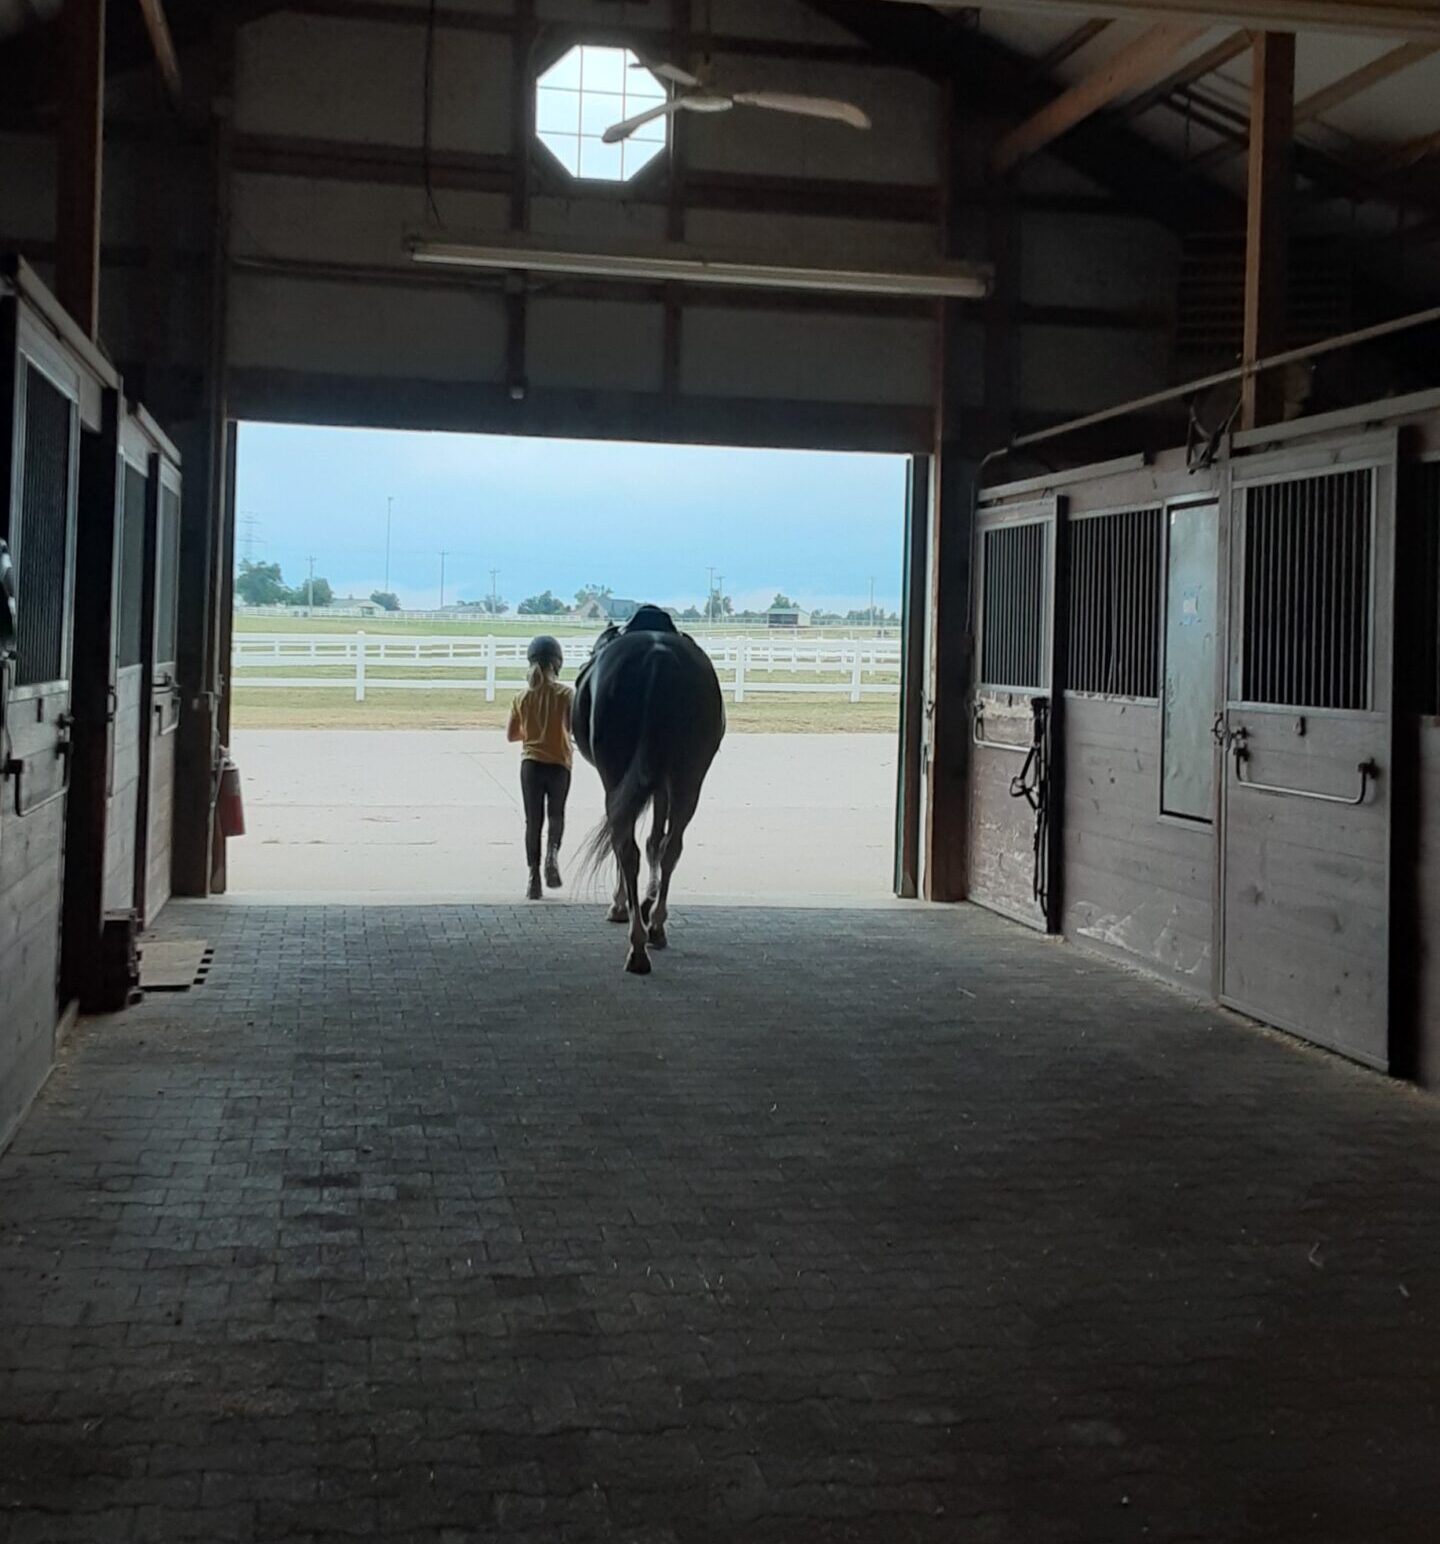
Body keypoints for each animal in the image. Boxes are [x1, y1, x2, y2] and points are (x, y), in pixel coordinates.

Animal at [574, 608, 725, 969]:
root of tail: (659, 658)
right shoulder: (663, 784)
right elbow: (657, 841)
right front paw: (646, 902)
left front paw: (623, 905)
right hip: (689, 778)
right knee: (671, 847)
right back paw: (655, 927)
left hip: (617, 775)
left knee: (626, 848)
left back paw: (637, 945)